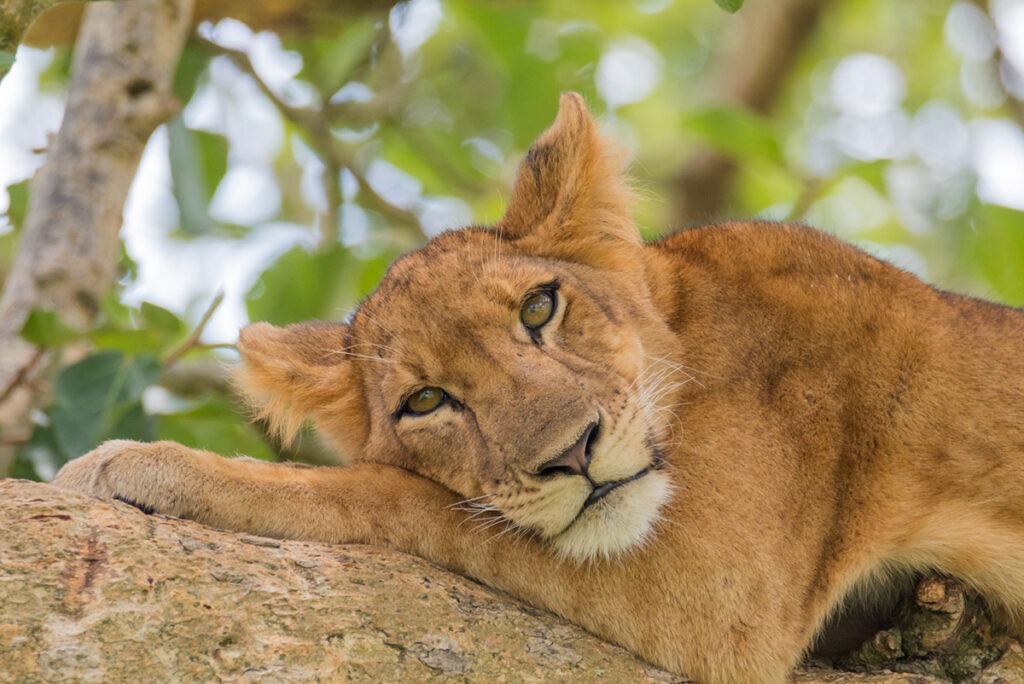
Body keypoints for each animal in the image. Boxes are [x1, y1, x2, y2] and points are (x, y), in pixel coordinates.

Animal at [53, 93, 1024, 683]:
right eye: (424, 401)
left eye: (539, 308)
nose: (574, 454)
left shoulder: (722, 595)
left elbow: (390, 495)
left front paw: (146, 464)